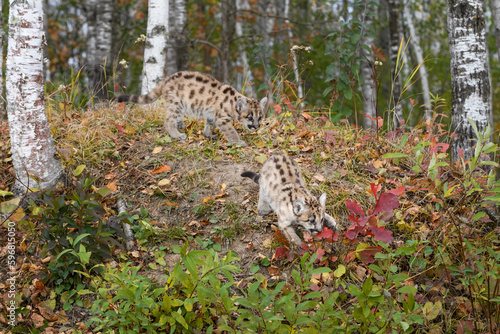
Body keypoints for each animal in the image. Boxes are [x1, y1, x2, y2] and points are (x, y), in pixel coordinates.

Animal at [117, 71, 268, 145]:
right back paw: (178, 135)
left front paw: (208, 135)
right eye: (250, 117)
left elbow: (209, 125)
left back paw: (180, 125)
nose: (256, 126)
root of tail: (166, 79)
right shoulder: (222, 119)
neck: (232, 104)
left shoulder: (212, 115)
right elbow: (231, 131)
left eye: (260, 117)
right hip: (176, 104)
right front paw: (238, 142)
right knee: (167, 120)